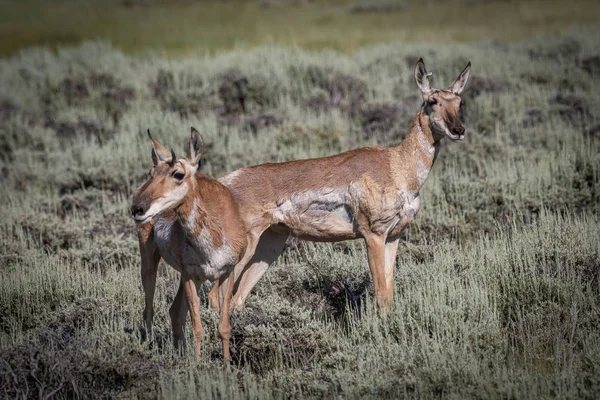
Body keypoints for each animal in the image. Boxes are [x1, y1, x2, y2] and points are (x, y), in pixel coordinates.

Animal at [131, 128, 246, 362]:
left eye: (178, 174)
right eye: (151, 172)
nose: (138, 208)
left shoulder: (225, 274)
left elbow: (224, 327)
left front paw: (227, 365)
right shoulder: (189, 275)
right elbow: (197, 326)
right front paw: (196, 365)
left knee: (174, 312)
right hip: (150, 262)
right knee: (150, 309)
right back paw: (150, 347)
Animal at [213, 57, 472, 312]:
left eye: (459, 102)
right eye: (432, 100)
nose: (459, 130)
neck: (396, 166)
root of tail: (224, 182)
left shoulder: (393, 236)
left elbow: (389, 293)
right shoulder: (373, 235)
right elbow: (380, 294)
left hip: (270, 244)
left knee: (236, 298)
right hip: (245, 246)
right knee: (216, 296)